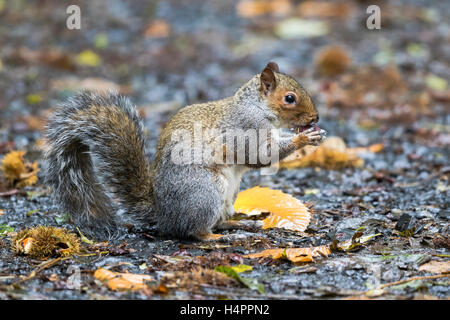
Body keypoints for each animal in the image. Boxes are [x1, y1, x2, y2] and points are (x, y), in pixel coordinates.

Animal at [44, 62, 322, 240]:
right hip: (205, 192)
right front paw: (304, 138)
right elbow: (259, 156)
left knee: (218, 222)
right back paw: (218, 238)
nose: (316, 117)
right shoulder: (245, 128)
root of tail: (164, 215)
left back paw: (238, 224)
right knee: (195, 232)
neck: (258, 108)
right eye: (289, 98)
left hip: (227, 195)